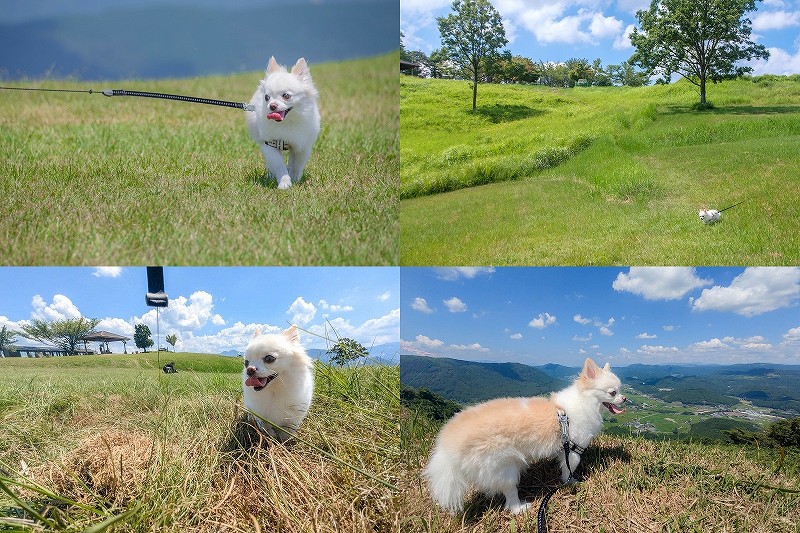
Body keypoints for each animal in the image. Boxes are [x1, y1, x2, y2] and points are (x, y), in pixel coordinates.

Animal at [422, 360, 628, 512]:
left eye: (621, 390)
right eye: (613, 392)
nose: (625, 398)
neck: (584, 403)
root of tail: (447, 445)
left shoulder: (564, 448)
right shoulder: (573, 449)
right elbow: (569, 469)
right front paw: (570, 482)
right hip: (505, 468)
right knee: (510, 495)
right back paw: (520, 507)